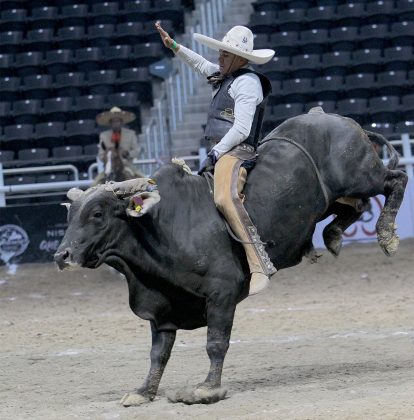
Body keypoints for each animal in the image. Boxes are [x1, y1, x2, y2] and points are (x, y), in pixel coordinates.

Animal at [55, 110, 408, 404]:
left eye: (98, 213)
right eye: (70, 215)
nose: (62, 255)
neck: (165, 226)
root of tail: (344, 122)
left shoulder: (221, 294)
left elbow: (215, 342)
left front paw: (207, 389)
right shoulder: (163, 305)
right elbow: (158, 354)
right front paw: (143, 392)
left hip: (363, 177)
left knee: (396, 180)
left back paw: (386, 235)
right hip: (341, 195)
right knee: (357, 206)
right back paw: (333, 235)